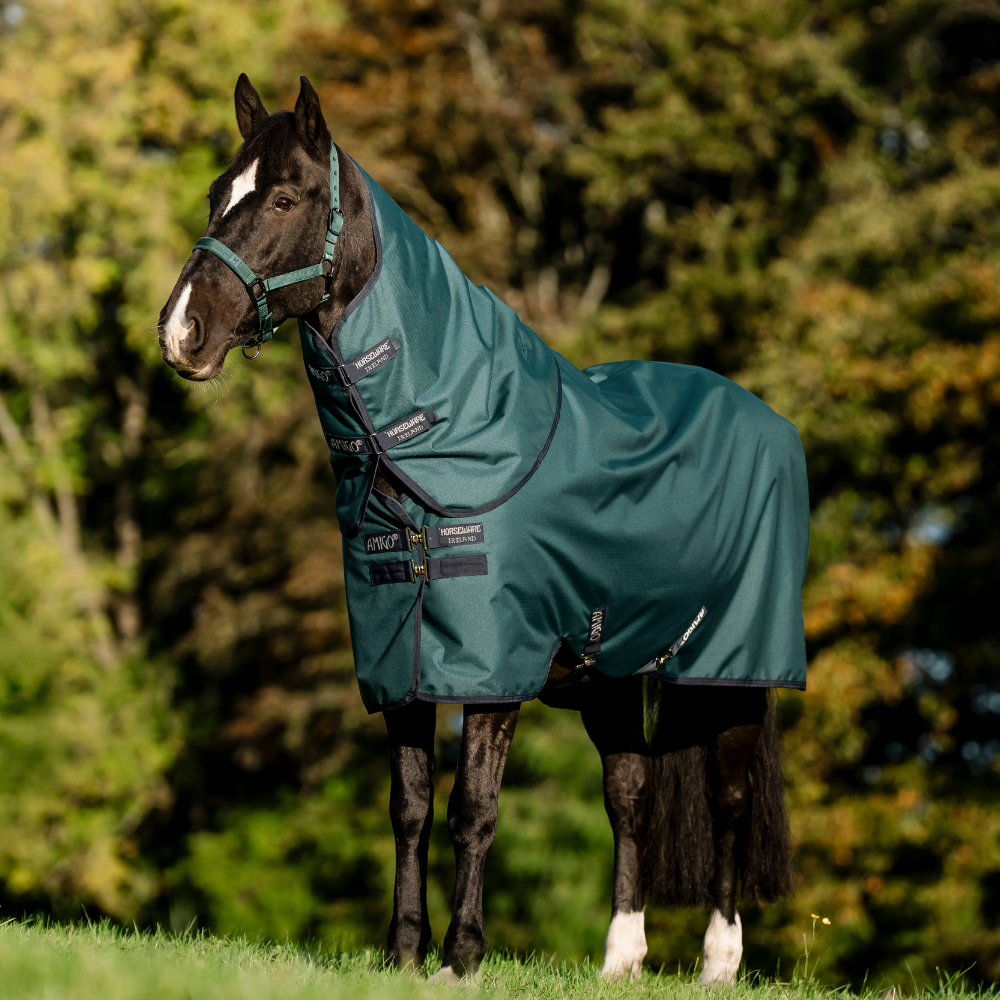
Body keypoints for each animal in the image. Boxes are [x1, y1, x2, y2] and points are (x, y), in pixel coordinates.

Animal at [158, 74, 804, 986]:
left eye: (283, 197)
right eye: (219, 194)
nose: (181, 331)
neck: (447, 439)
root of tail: (769, 423)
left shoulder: (493, 673)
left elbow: (474, 808)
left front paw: (461, 957)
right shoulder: (400, 660)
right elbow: (410, 807)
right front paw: (401, 952)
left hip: (733, 674)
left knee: (730, 799)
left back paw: (719, 962)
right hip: (614, 676)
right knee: (631, 796)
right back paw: (620, 959)